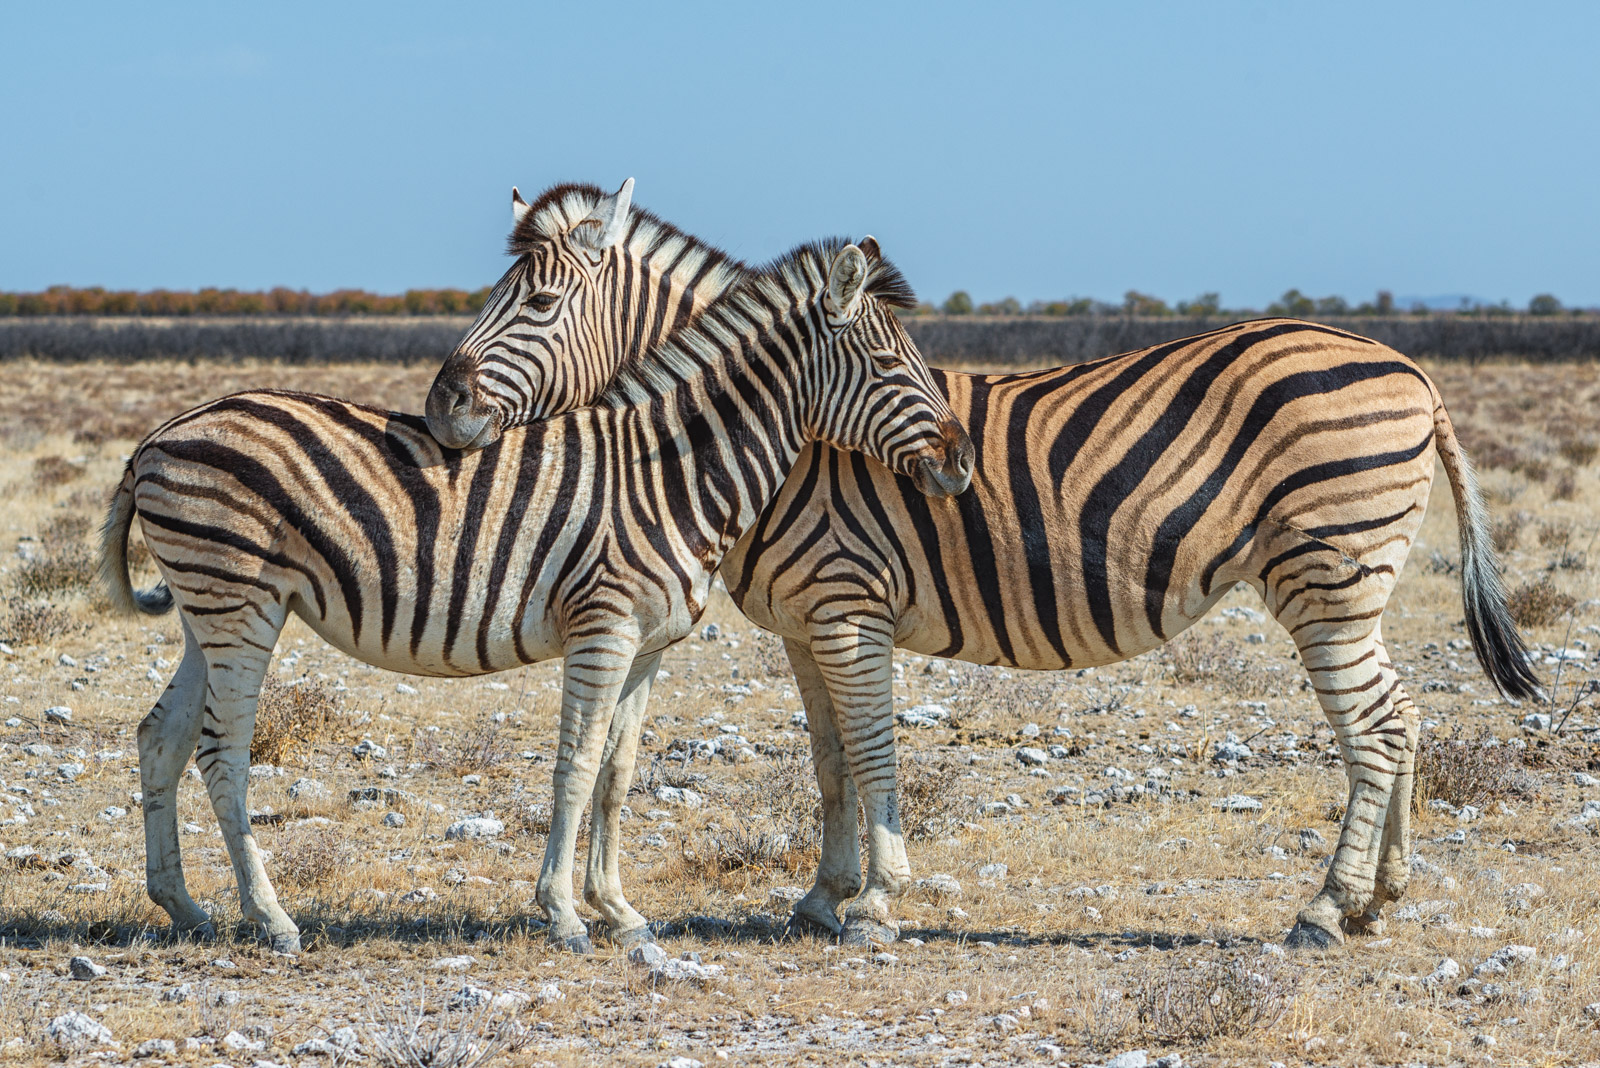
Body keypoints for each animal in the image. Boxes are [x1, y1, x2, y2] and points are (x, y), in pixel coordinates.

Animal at [102, 226, 975, 952]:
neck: (672, 472)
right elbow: (575, 765)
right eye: (891, 365)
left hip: (208, 613)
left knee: (161, 737)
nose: (963, 461)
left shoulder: (650, 645)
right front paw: (563, 914)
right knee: (222, 753)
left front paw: (619, 909)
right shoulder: (604, 626)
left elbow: (618, 773)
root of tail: (157, 435)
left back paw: (183, 907)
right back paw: (270, 918)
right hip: (241, 604)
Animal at [707, 320, 1540, 950]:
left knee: (1373, 730)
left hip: (1327, 574)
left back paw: (1327, 910)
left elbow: (870, 755)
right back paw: (1379, 898)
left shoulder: (847, 603)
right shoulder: (803, 625)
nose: (954, 467)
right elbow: (831, 763)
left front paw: (872, 907)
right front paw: (821, 899)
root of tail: (1417, 375)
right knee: (1404, 714)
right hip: (1353, 592)